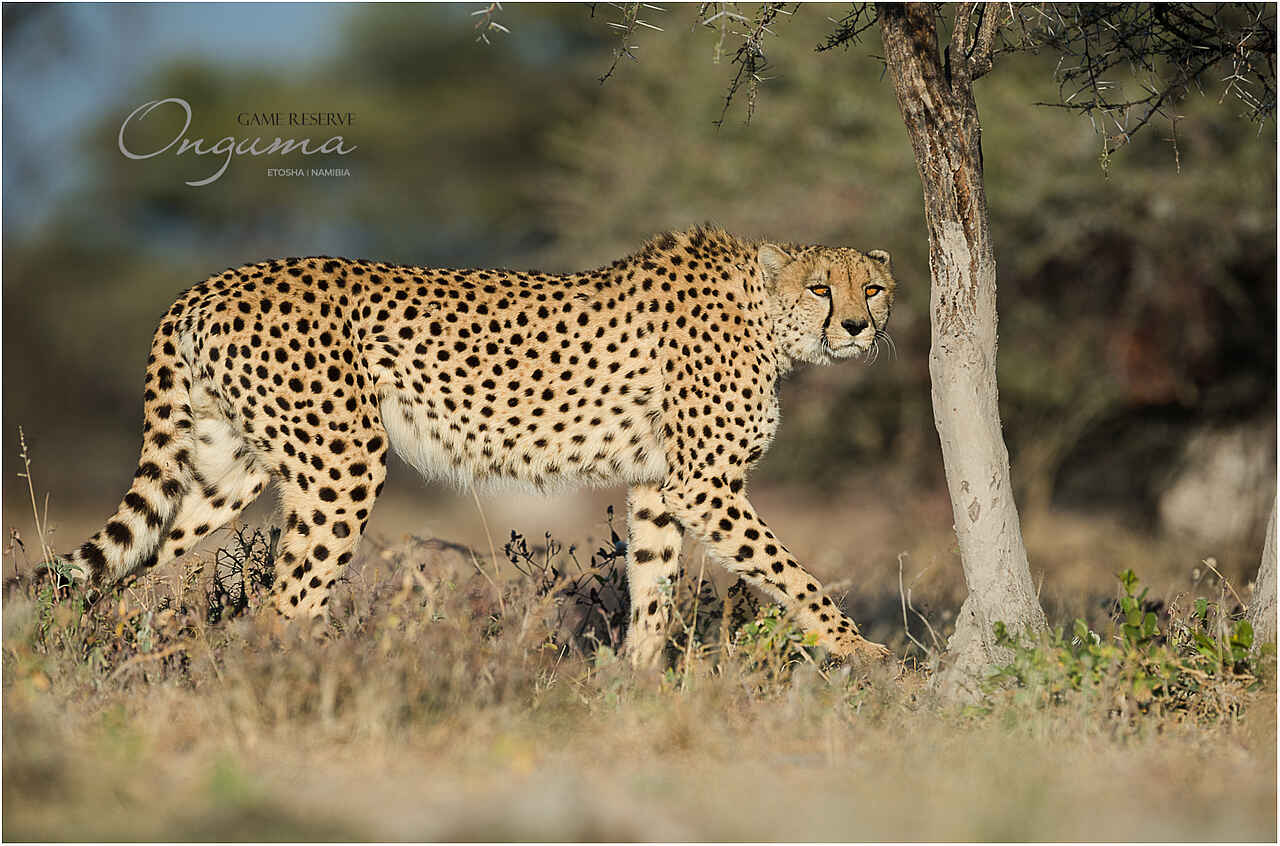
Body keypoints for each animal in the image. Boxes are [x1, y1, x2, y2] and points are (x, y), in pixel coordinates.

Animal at [63, 225, 897, 666]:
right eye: (821, 288)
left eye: (873, 288)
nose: (860, 327)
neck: (765, 316)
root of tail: (209, 284)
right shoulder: (705, 487)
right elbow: (794, 574)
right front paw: (866, 656)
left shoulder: (659, 487)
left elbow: (653, 586)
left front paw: (639, 687)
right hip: (344, 462)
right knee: (284, 606)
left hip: (223, 467)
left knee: (130, 564)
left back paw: (97, 652)